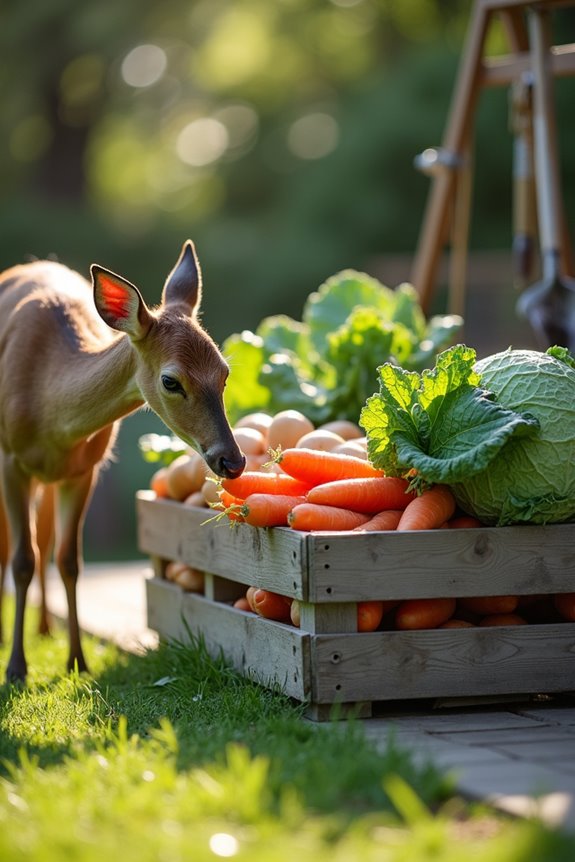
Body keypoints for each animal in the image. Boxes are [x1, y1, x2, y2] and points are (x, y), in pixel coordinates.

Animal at [0, 240, 245, 683]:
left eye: (224, 373)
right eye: (171, 381)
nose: (232, 461)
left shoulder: (85, 469)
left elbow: (69, 561)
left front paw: (77, 662)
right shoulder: (10, 459)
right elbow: (20, 559)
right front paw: (15, 669)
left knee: (44, 539)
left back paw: (44, 628)